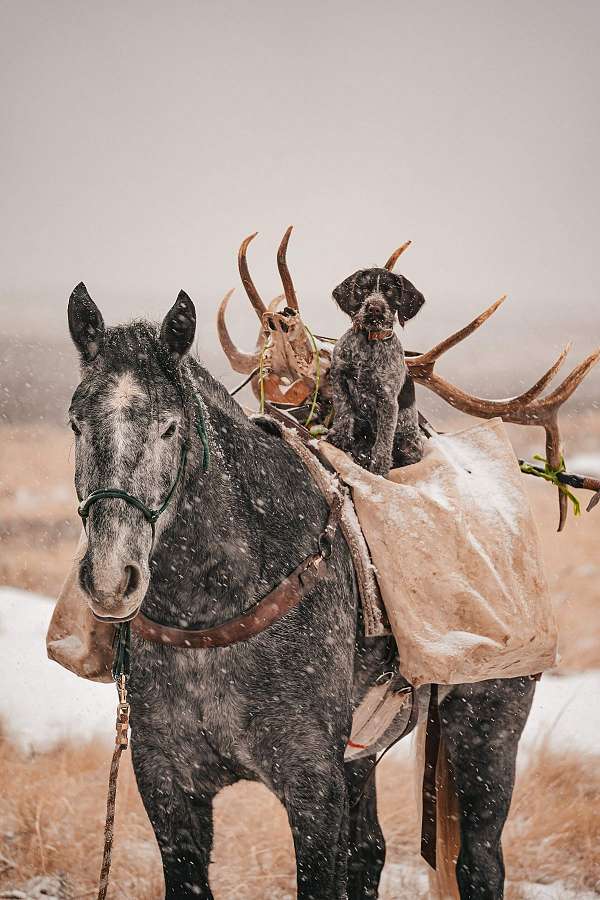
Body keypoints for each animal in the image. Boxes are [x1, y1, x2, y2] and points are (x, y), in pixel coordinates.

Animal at [67, 282, 536, 899]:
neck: (213, 615)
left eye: (169, 426)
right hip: (363, 756)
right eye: (76, 423)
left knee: (480, 864)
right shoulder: (168, 783)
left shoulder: (313, 786)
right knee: (369, 852)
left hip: (488, 727)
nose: (109, 577)